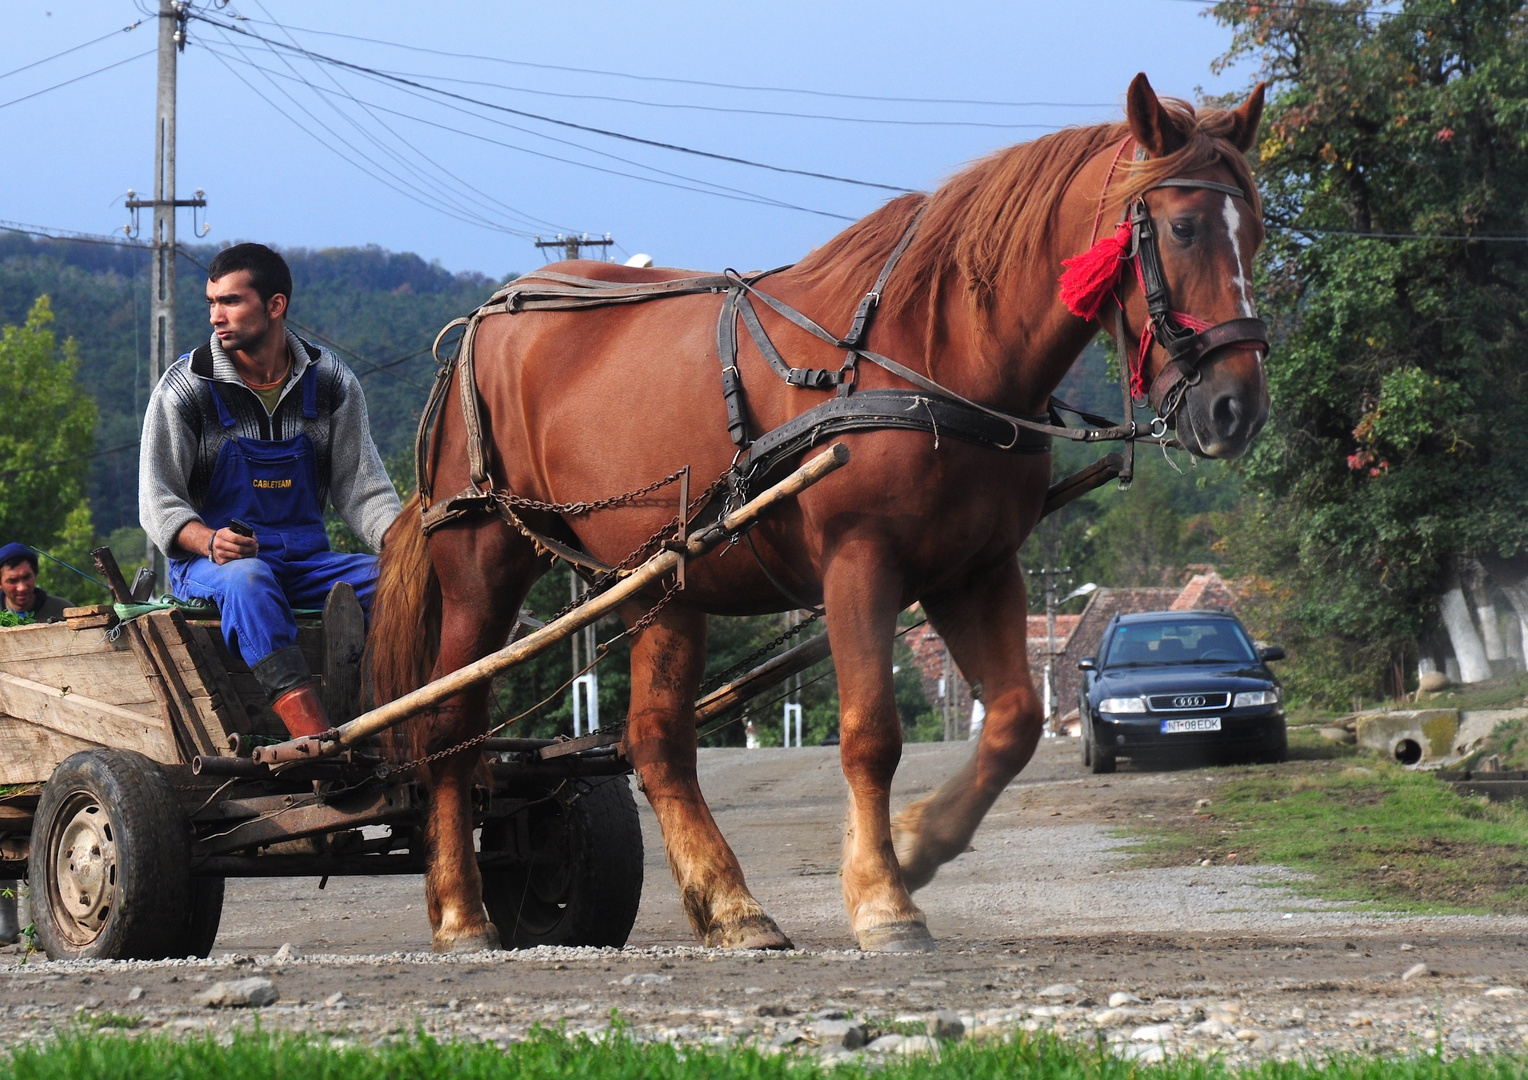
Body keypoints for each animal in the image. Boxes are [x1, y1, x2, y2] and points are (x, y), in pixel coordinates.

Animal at [366, 74, 1265, 953]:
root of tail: (484, 320)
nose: (1236, 409)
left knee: (656, 741)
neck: (931, 354)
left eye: (1254, 232)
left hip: (660, 582)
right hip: (482, 562)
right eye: (1183, 227)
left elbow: (1014, 720)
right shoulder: (860, 562)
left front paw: (916, 844)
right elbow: (870, 734)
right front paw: (883, 899)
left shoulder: (974, 569)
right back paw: (462, 913)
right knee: (450, 724)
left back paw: (732, 906)